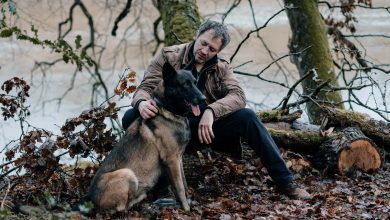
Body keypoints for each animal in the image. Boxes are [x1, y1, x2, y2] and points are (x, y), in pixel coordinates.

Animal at [87, 61, 206, 211]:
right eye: (185, 84)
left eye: (195, 82)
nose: (203, 99)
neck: (167, 110)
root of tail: (91, 201)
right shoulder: (171, 159)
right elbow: (179, 187)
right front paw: (185, 208)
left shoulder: (178, 158)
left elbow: (184, 183)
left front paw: (187, 200)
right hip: (127, 173)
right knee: (122, 208)